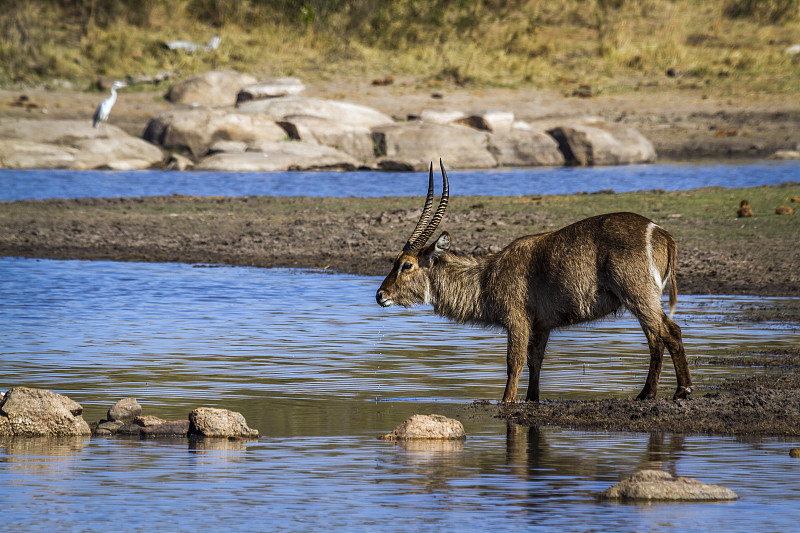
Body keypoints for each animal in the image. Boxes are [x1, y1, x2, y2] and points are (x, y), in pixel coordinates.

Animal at [376, 160, 692, 402]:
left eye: (406, 264)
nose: (380, 295)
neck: (487, 277)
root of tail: (661, 232)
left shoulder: (517, 320)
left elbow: (514, 363)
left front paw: (506, 401)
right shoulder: (542, 326)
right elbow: (535, 361)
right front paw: (531, 399)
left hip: (638, 294)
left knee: (670, 331)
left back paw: (682, 391)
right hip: (642, 299)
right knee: (656, 339)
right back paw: (647, 394)